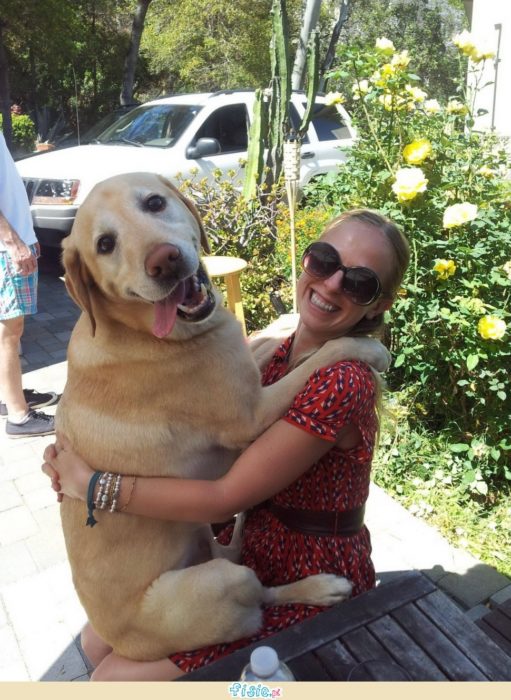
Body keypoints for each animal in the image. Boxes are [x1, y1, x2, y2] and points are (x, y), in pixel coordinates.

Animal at [57, 172, 388, 660]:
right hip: (222, 581)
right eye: (104, 244)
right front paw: (364, 347)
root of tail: (126, 647)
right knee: (261, 595)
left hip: (203, 540)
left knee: (233, 555)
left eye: (154, 202)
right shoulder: (253, 414)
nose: (165, 262)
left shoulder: (241, 360)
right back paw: (320, 587)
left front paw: (285, 323)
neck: (141, 331)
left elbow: (265, 343)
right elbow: (319, 357)